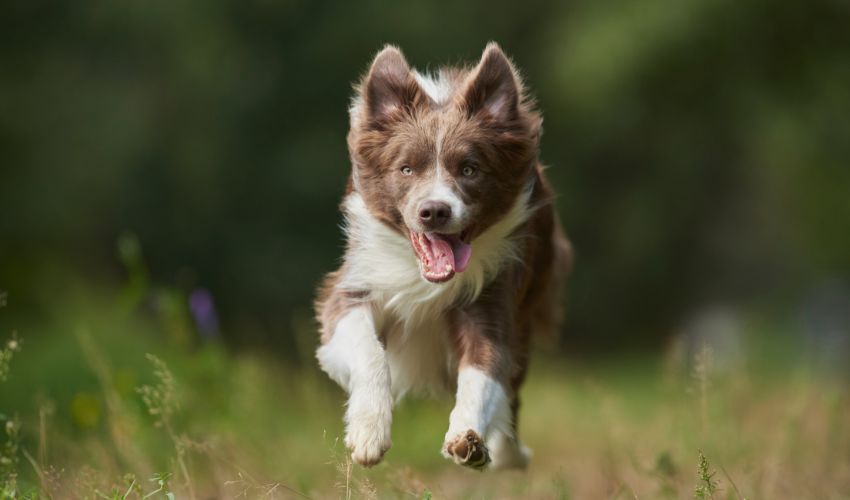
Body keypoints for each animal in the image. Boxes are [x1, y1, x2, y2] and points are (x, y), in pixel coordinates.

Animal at [314, 43, 568, 468]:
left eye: (469, 169)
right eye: (406, 169)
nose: (434, 211)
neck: (424, 277)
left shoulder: (492, 299)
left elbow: (483, 371)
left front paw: (467, 438)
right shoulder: (352, 288)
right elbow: (370, 352)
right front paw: (368, 433)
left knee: (512, 391)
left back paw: (509, 454)